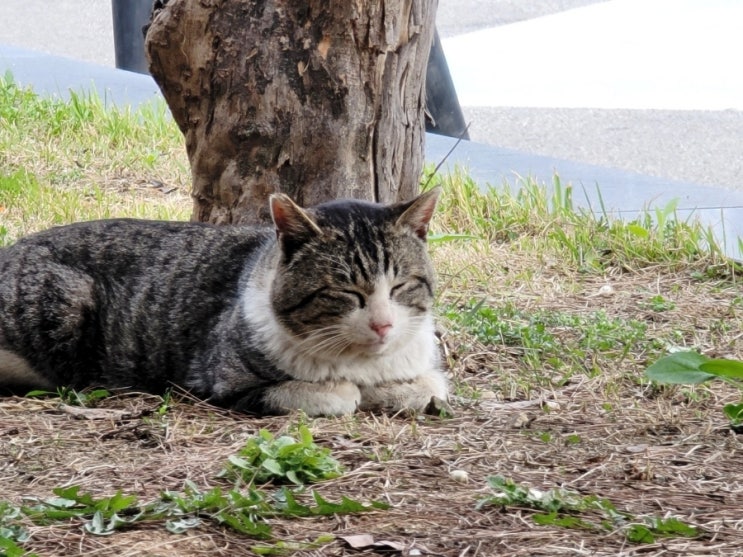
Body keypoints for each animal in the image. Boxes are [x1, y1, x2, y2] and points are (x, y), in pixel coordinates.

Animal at [0, 189, 448, 414]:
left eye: (400, 286)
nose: (383, 325)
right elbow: (335, 395)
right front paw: (351, 392)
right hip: (64, 305)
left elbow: (431, 387)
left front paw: (392, 392)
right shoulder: (225, 381)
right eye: (345, 291)